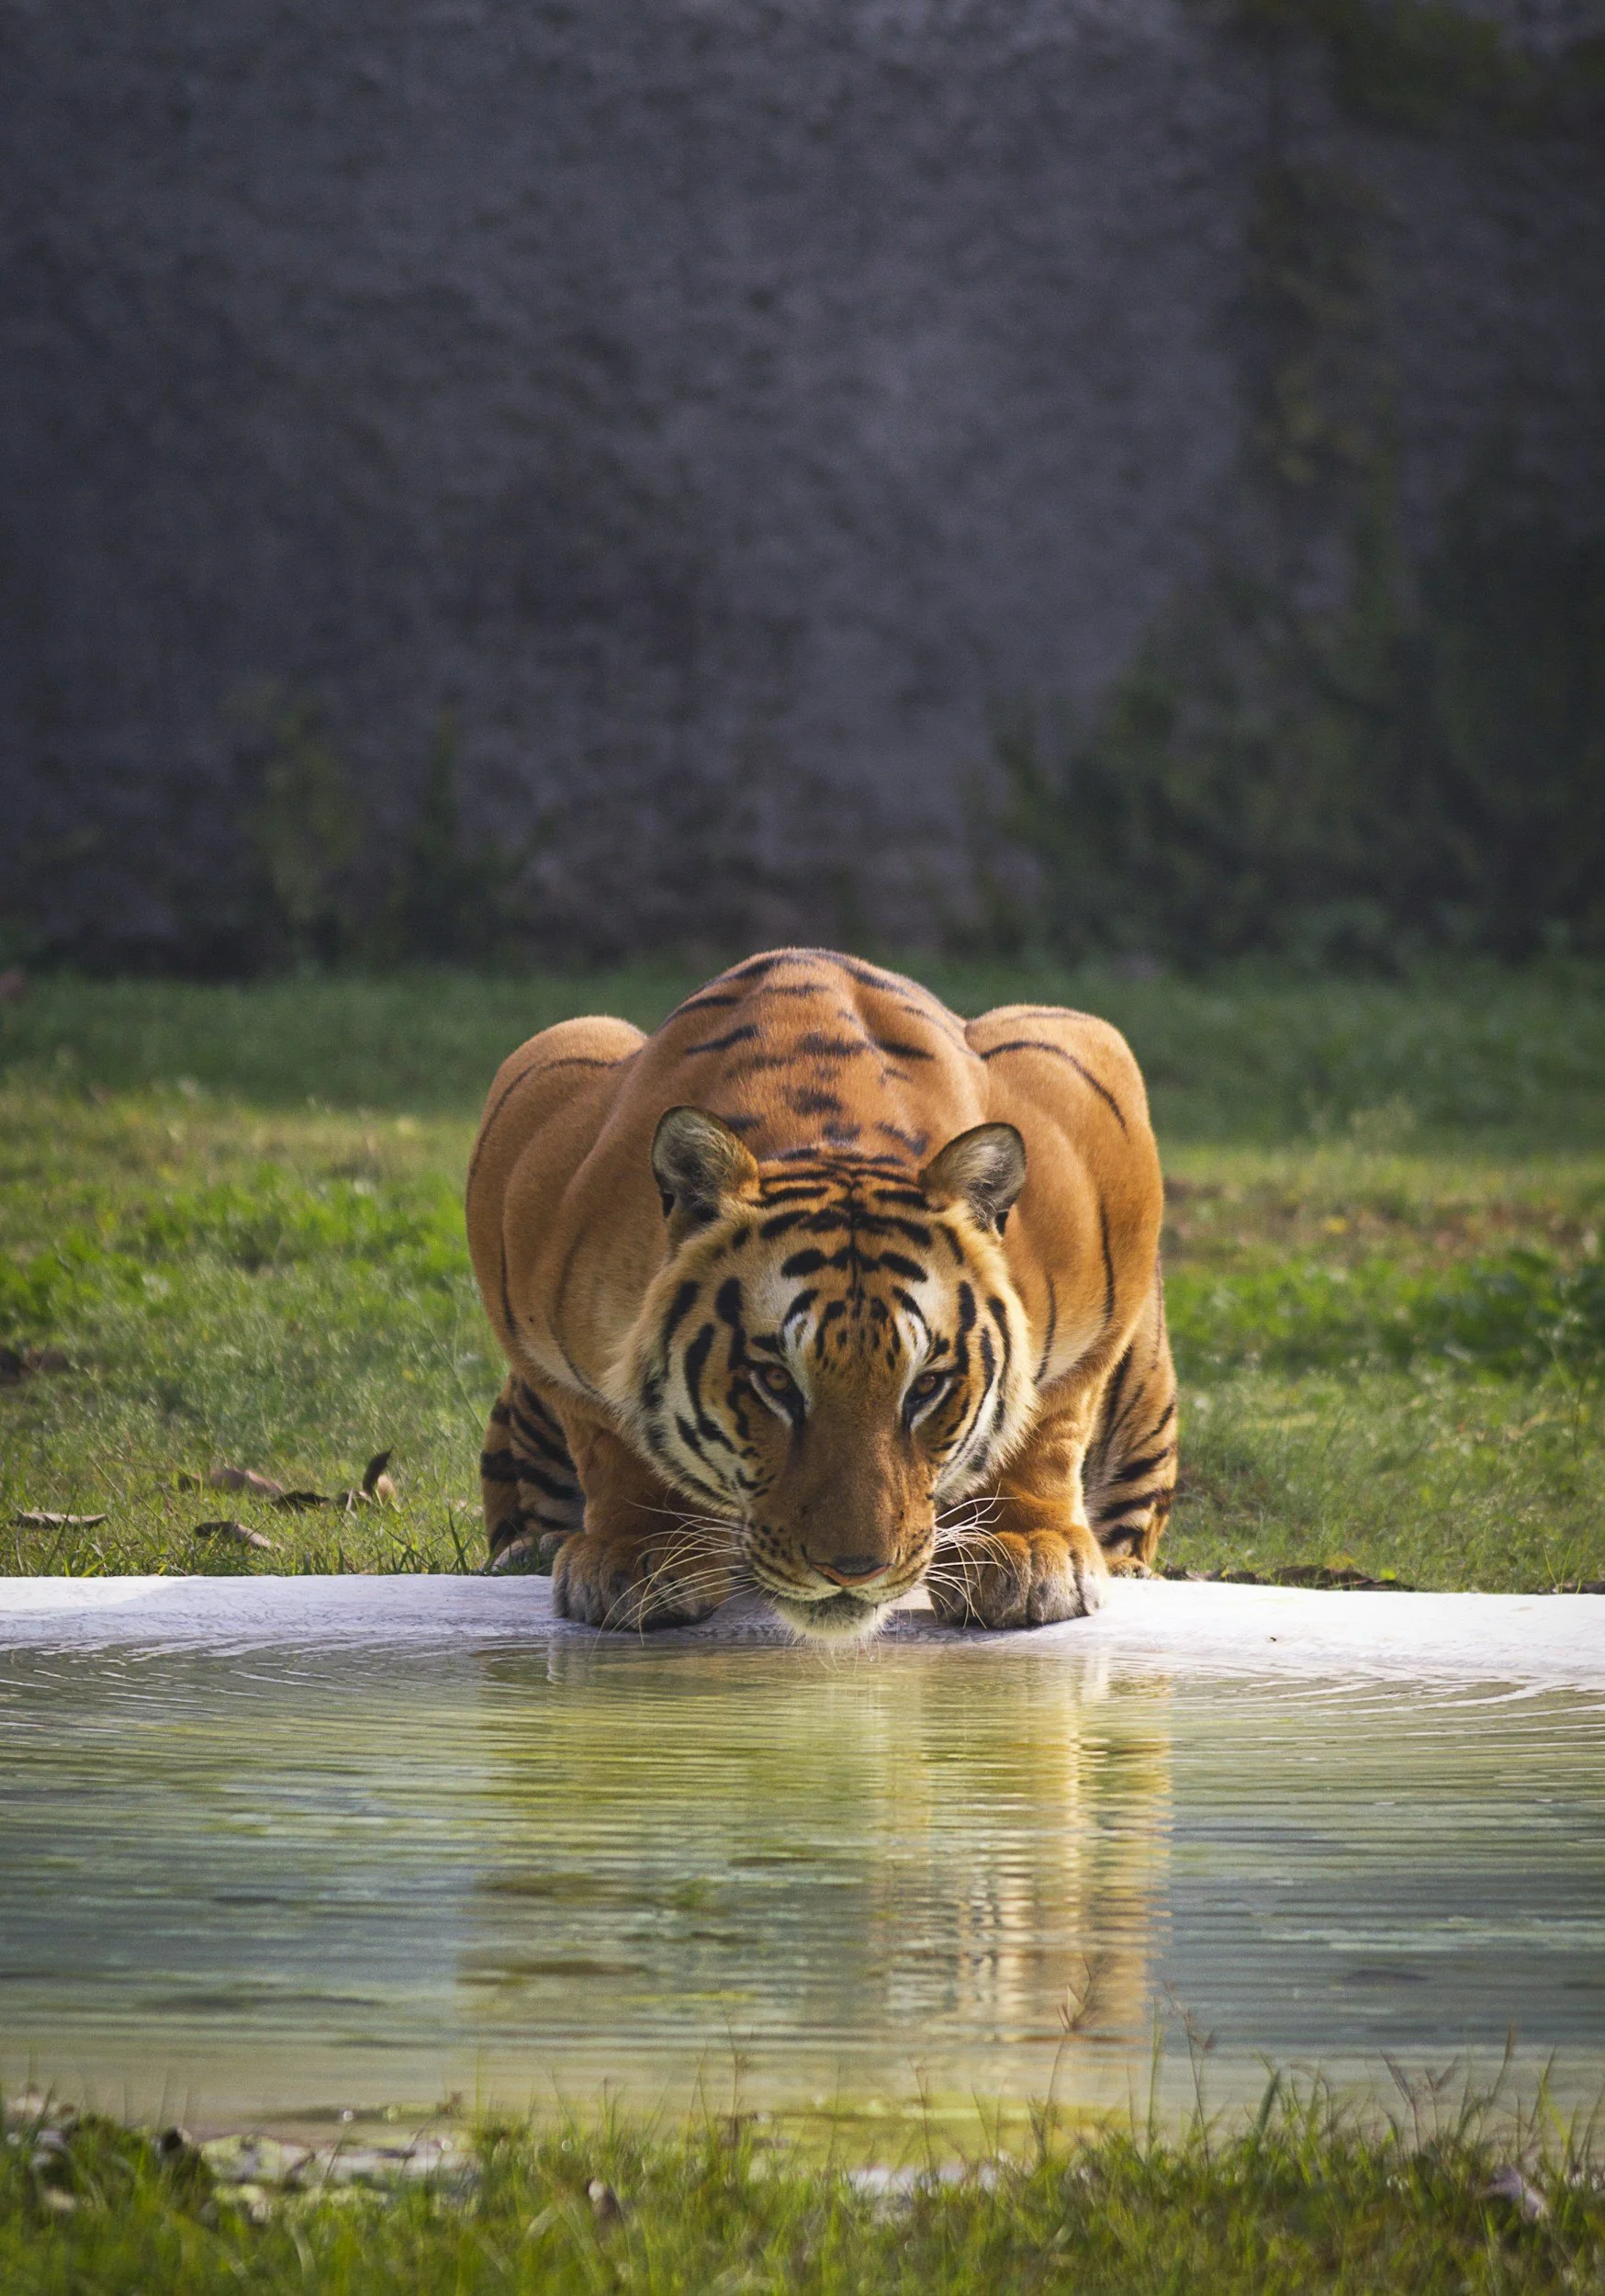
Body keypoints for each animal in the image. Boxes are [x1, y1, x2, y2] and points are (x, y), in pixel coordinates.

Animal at [465, 948, 1177, 1640]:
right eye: (776, 1381)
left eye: (926, 1386)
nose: (854, 1571)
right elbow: (608, 1435)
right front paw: (638, 1554)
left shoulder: (1091, 1094)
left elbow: (1051, 1417)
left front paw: (1027, 1552)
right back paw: (533, 1549)